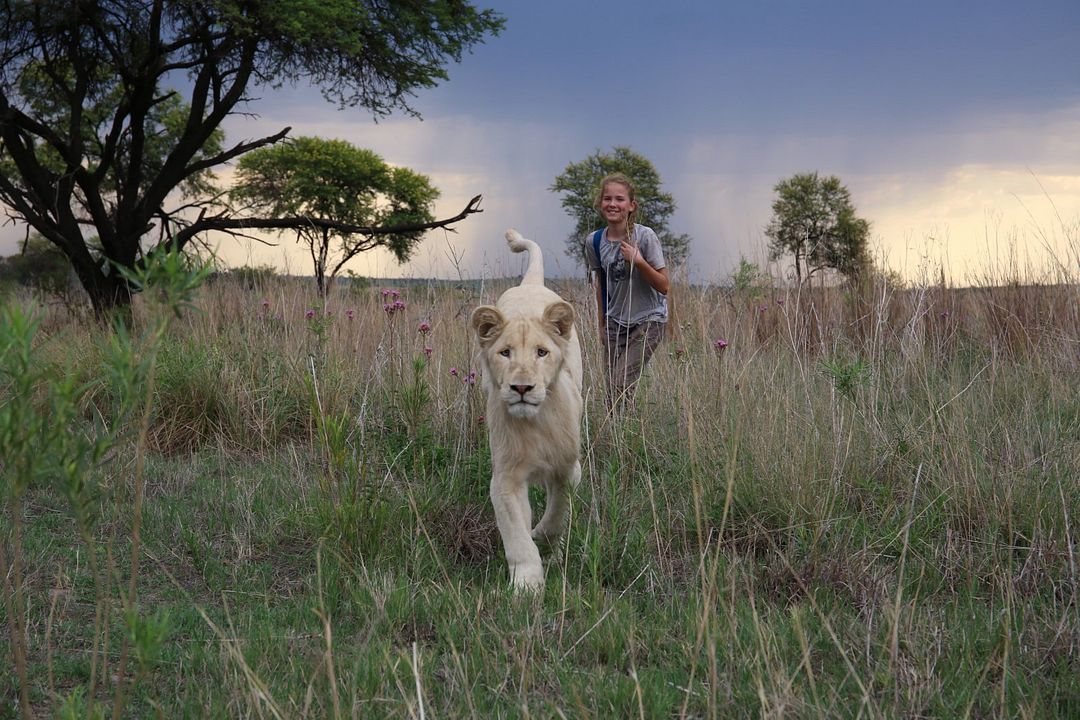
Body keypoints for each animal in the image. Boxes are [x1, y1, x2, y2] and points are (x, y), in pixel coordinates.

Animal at [470, 229, 583, 591]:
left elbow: (557, 512)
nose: (522, 388)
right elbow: (517, 535)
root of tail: (530, 283)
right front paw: (526, 586)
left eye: (541, 352)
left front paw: (544, 539)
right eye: (505, 353)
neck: (535, 423)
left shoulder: (568, 469)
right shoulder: (505, 478)